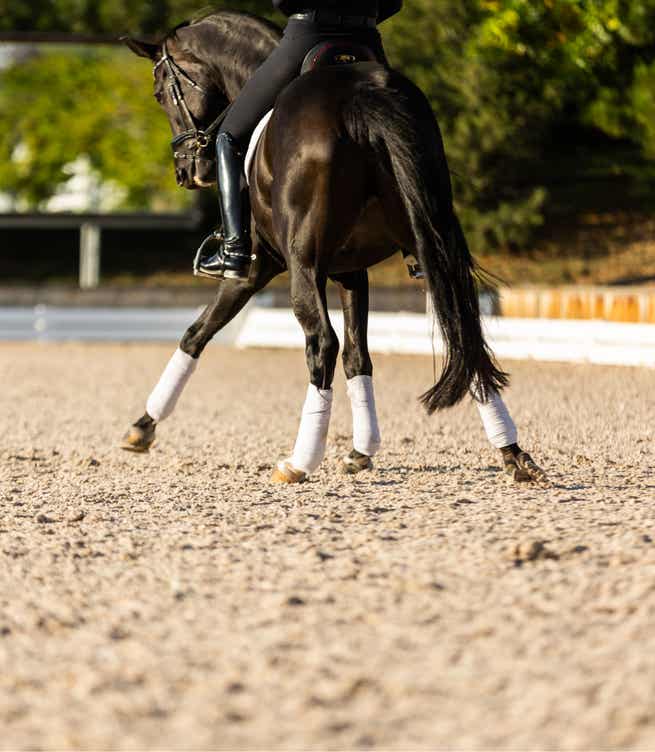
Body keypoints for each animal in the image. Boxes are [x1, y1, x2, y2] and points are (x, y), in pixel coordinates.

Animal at [121, 10, 547, 485]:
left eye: (160, 94)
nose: (187, 173)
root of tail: (362, 95)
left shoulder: (258, 267)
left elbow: (196, 333)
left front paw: (143, 427)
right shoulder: (350, 270)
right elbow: (358, 356)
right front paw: (362, 452)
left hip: (303, 264)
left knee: (321, 343)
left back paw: (298, 462)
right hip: (428, 245)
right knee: (460, 325)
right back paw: (514, 454)